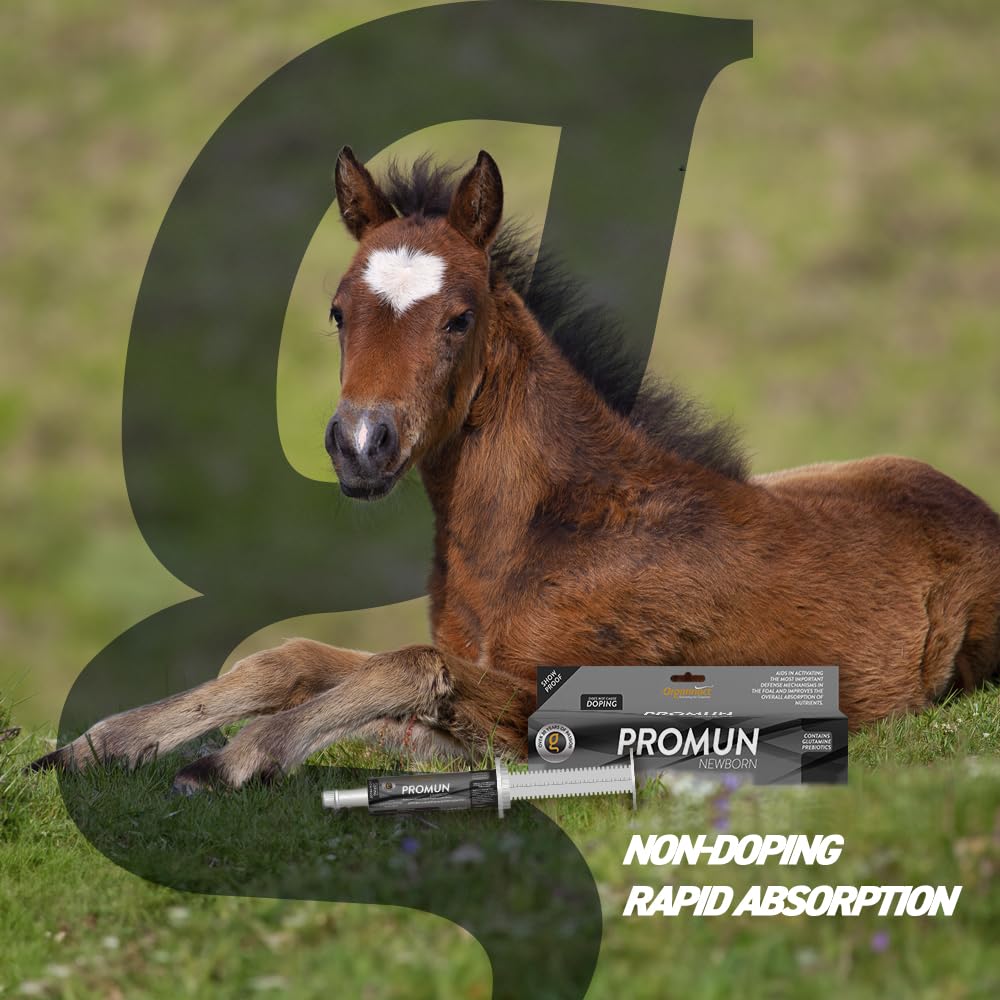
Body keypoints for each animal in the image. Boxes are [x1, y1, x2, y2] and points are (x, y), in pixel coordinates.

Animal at [32, 147, 1000, 792]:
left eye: (459, 318)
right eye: (339, 312)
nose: (361, 444)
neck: (557, 530)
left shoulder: (569, 707)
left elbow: (410, 664)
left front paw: (239, 757)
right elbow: (300, 657)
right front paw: (103, 743)